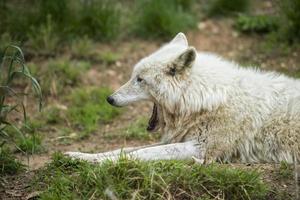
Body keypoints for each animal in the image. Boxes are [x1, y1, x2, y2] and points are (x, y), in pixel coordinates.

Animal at [67, 33, 300, 164]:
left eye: (140, 79)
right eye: (133, 76)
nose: (109, 99)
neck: (205, 99)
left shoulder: (201, 149)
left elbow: (141, 154)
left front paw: (103, 164)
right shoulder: (179, 140)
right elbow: (125, 149)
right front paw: (81, 156)